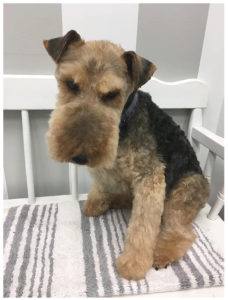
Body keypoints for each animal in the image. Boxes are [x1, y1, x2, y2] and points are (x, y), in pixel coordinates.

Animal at [43, 29, 210, 280]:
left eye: (112, 94)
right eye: (71, 84)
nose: (80, 157)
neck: (125, 120)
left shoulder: (151, 179)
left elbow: (142, 227)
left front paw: (132, 265)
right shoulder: (106, 166)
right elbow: (101, 184)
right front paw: (95, 203)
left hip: (183, 192)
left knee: (181, 232)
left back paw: (162, 254)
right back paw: (115, 201)